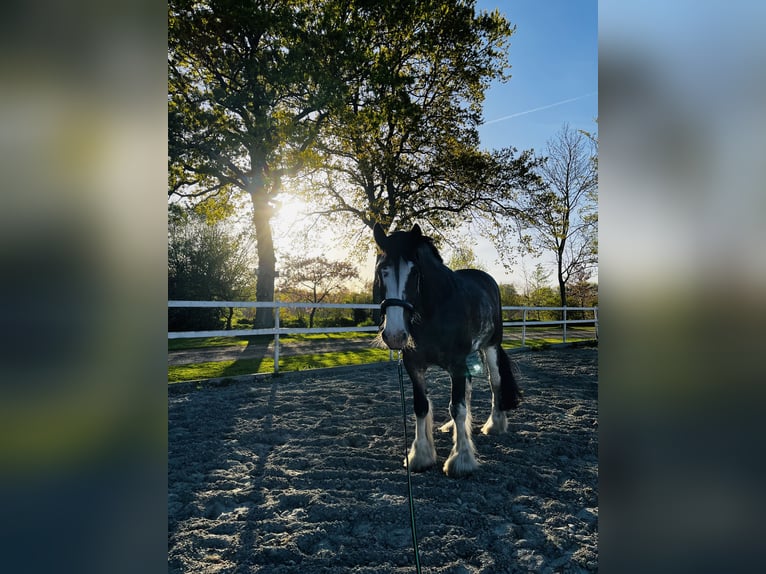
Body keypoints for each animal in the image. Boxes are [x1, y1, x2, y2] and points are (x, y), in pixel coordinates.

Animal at [373, 223, 522, 477]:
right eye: (382, 270)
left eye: (414, 272)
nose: (394, 335)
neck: (434, 311)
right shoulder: (414, 366)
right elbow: (421, 406)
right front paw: (420, 456)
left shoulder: (456, 364)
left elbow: (458, 407)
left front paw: (461, 460)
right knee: (468, 390)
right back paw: (453, 427)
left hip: (490, 347)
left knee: (494, 383)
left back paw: (494, 424)